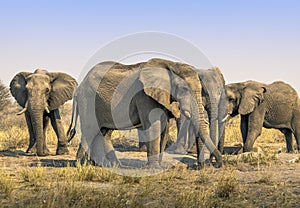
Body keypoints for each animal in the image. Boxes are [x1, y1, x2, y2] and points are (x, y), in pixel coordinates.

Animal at [68, 57, 223, 168]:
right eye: (184, 89)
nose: (216, 164)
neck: (171, 65)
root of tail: (79, 86)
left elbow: (164, 128)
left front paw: (158, 166)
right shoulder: (144, 96)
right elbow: (154, 126)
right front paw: (154, 168)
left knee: (104, 132)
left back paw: (111, 166)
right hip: (88, 100)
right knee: (90, 130)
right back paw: (80, 165)